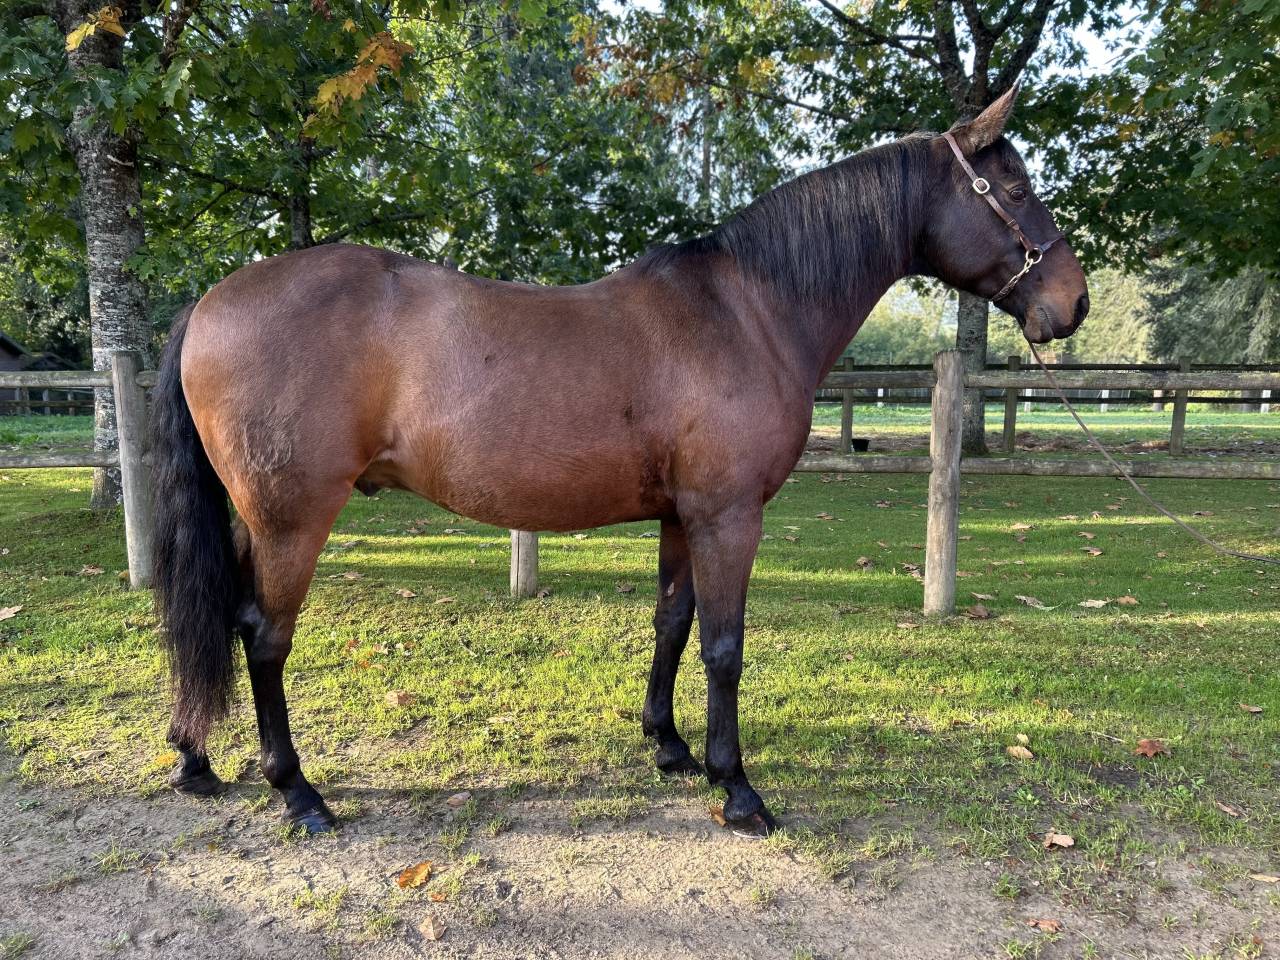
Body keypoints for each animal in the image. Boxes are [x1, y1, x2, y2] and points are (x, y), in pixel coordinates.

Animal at [151, 85, 1087, 837]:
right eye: (1013, 188)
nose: (1072, 302)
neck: (748, 310)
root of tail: (209, 302)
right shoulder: (728, 517)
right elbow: (724, 646)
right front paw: (738, 789)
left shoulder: (683, 515)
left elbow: (672, 623)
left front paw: (668, 745)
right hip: (294, 517)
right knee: (263, 634)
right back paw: (298, 792)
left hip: (259, 518)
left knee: (219, 615)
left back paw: (195, 758)